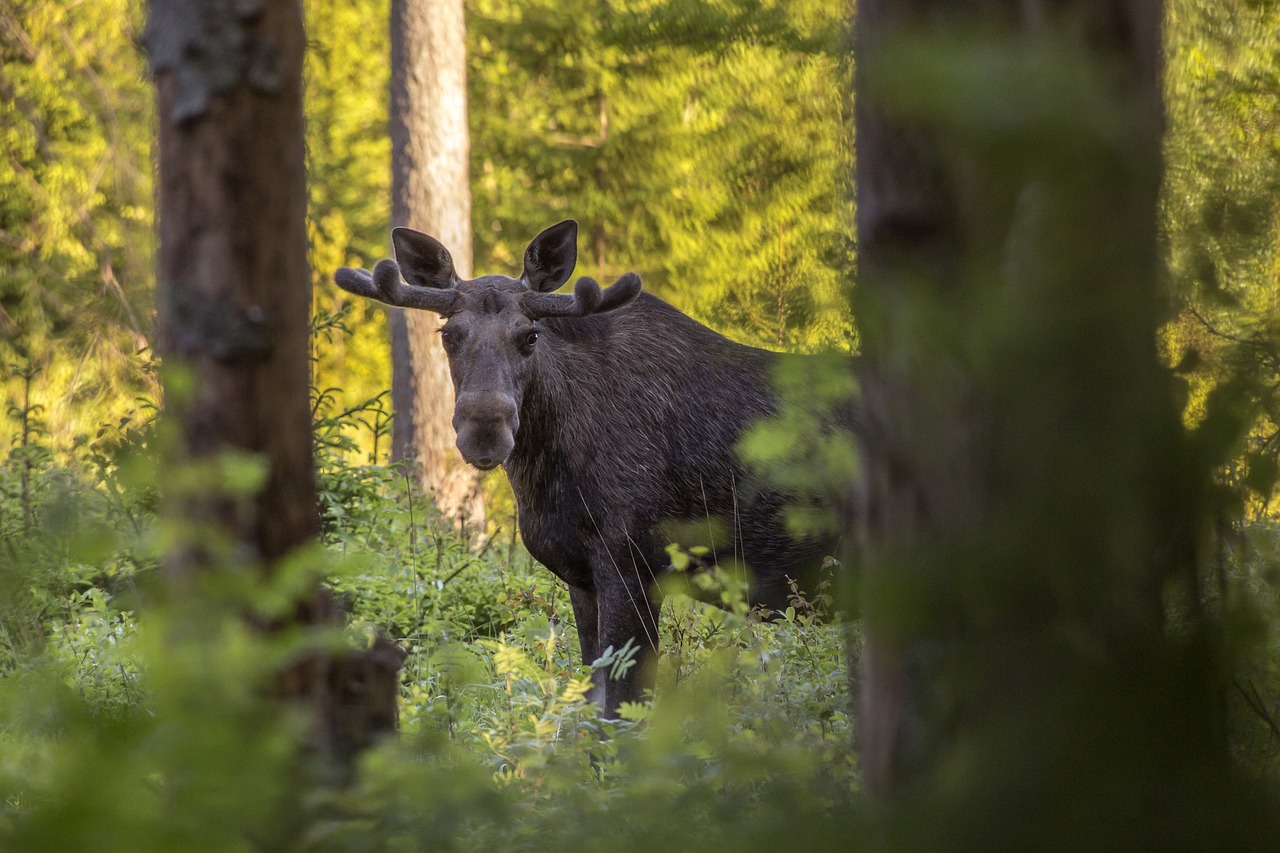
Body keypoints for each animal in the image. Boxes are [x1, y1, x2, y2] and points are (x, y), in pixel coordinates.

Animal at [335, 219, 855, 712]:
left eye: (530, 336)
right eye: (447, 334)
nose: (484, 430)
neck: (548, 478)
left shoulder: (635, 565)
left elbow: (620, 713)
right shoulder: (580, 577)